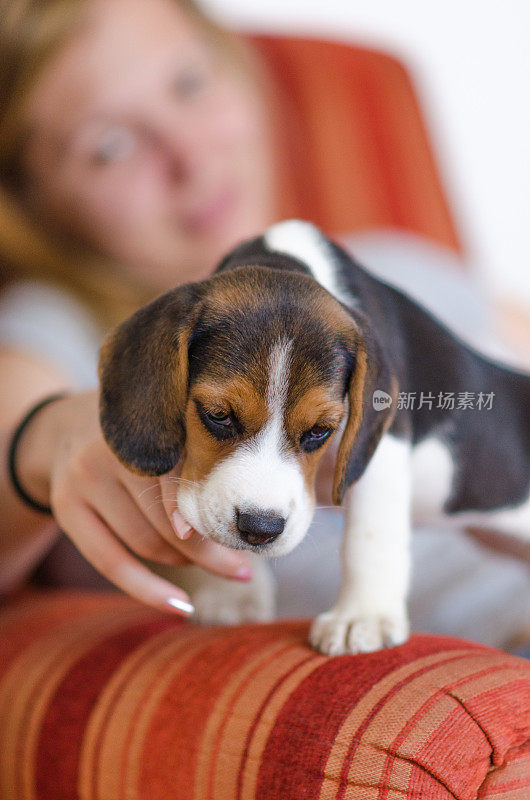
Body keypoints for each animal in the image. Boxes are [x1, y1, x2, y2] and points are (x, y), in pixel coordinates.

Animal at [99, 220, 528, 656]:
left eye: (320, 430)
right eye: (218, 415)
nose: (260, 528)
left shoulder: (384, 445)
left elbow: (369, 536)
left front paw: (363, 615)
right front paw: (232, 593)